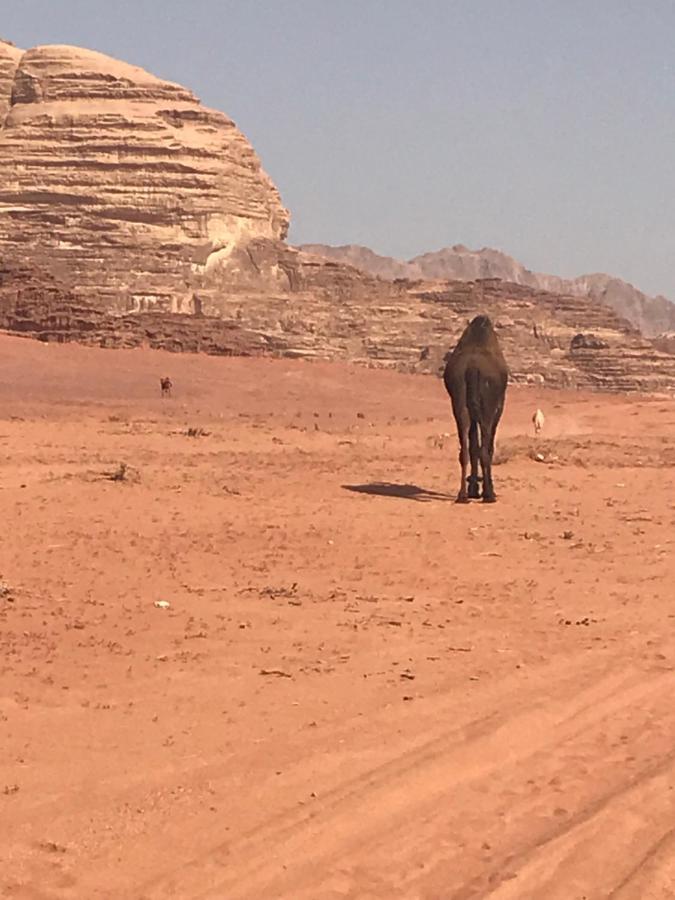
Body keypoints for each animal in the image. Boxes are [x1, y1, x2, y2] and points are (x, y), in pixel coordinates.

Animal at [444, 312, 508, 502]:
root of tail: (472, 368)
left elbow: (473, 446)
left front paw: (473, 488)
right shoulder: (498, 407)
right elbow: (487, 447)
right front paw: (485, 489)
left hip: (459, 400)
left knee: (464, 447)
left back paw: (463, 495)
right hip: (488, 404)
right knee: (485, 449)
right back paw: (489, 495)